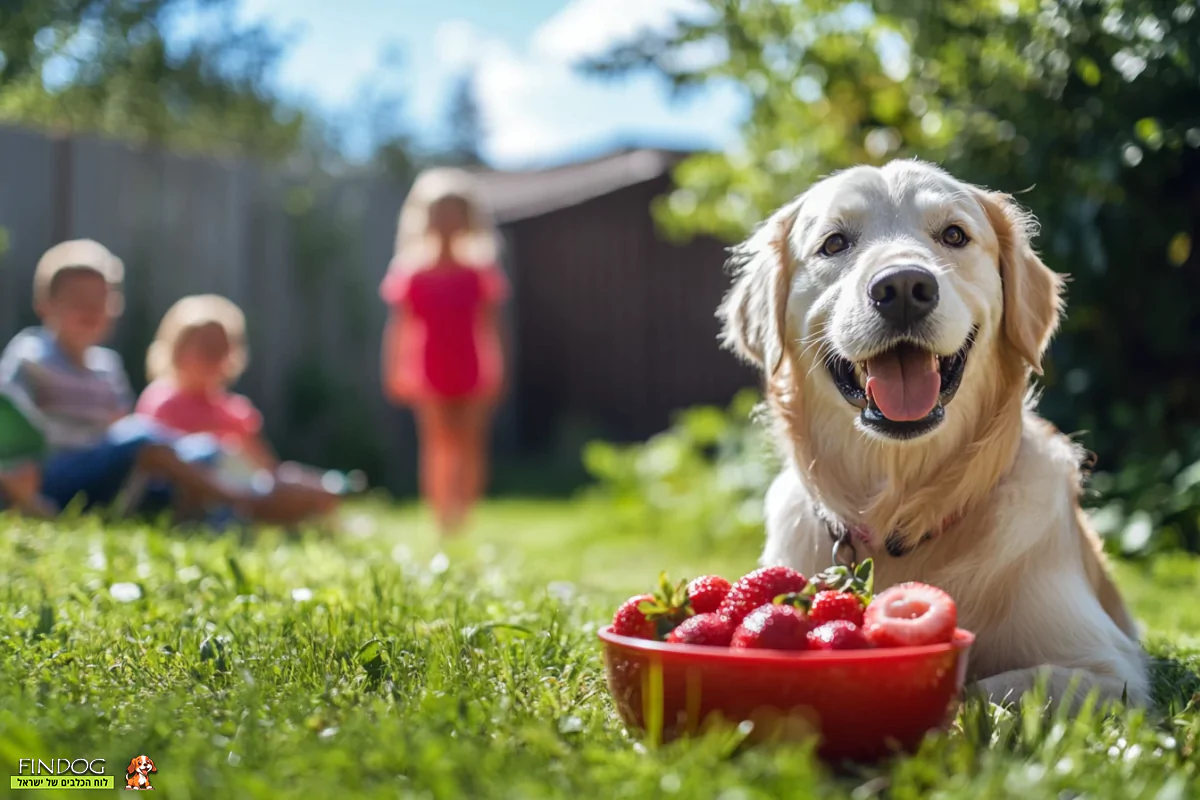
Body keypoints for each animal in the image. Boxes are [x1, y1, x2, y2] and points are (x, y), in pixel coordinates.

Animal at [715, 160, 1147, 705]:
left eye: (954, 235)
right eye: (834, 243)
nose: (902, 288)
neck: (901, 515)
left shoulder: (1113, 673)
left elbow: (992, 687)